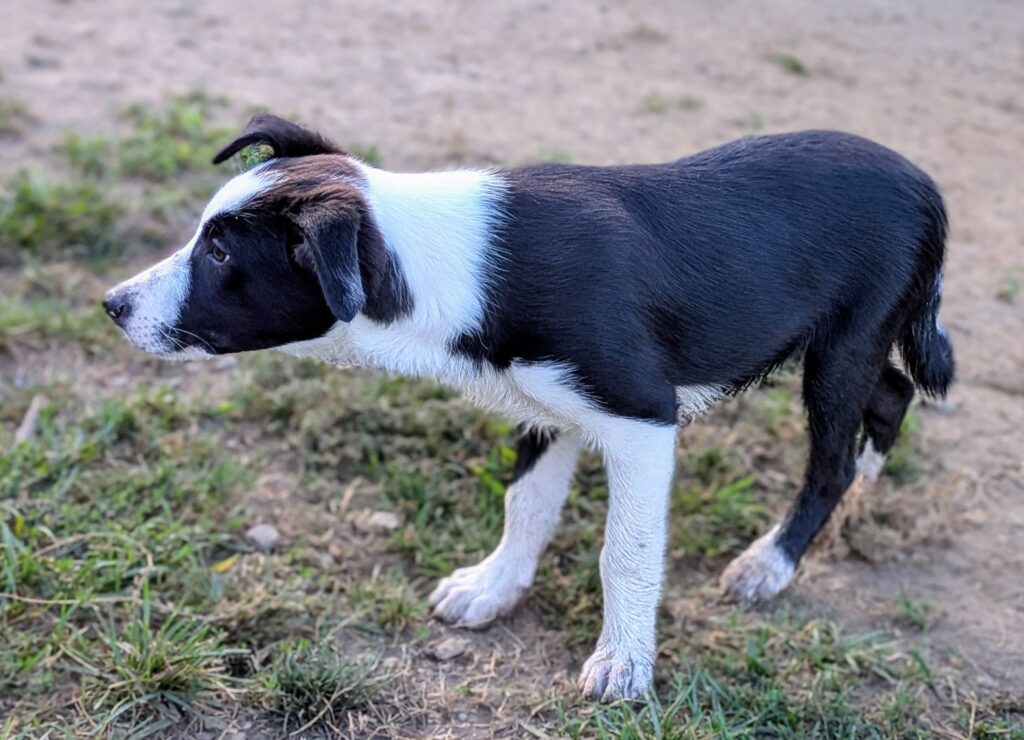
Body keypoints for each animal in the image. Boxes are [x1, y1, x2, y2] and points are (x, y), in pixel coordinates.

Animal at [104, 115, 954, 701]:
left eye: (220, 253)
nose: (111, 304)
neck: (448, 264)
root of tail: (926, 184)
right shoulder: (547, 409)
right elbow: (526, 505)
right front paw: (493, 588)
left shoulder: (640, 417)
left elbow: (625, 552)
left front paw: (624, 665)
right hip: (849, 344)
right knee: (892, 393)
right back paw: (864, 486)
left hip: (843, 346)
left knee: (830, 458)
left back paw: (772, 562)